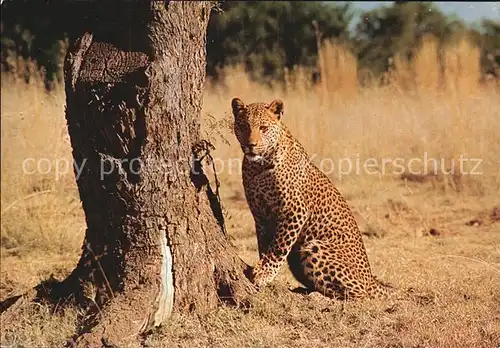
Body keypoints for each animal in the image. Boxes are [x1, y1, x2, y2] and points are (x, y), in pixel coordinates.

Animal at [231, 96, 394, 300]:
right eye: (243, 126)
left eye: (263, 128)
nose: (250, 145)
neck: (258, 166)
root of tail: (371, 279)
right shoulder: (260, 214)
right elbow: (264, 244)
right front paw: (263, 269)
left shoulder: (294, 210)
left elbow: (278, 246)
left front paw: (264, 274)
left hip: (315, 247)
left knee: (358, 294)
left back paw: (317, 296)